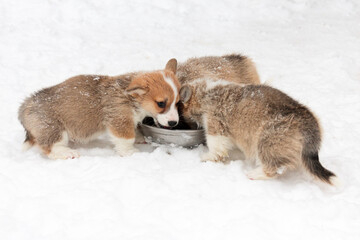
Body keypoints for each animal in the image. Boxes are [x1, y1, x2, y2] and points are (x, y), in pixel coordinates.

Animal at [18, 58, 180, 159]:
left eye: (178, 102)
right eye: (161, 103)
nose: (174, 123)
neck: (133, 98)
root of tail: (26, 106)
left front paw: (140, 138)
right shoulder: (120, 120)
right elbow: (127, 139)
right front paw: (131, 152)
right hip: (54, 129)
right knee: (50, 148)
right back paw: (67, 153)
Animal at [180, 79, 338, 185]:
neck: (205, 93)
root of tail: (310, 126)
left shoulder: (215, 125)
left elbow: (215, 146)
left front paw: (206, 156)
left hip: (267, 141)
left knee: (274, 167)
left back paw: (254, 174)